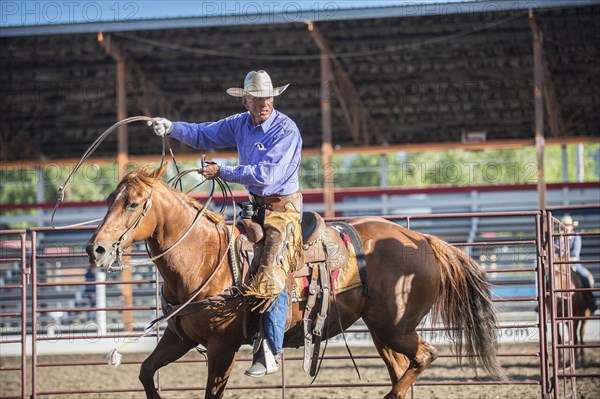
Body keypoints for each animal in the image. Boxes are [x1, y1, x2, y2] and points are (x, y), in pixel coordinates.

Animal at [85, 164, 506, 398]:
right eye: (107, 199)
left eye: (133, 204)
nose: (96, 249)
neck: (205, 258)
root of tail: (422, 238)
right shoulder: (179, 338)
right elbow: (145, 372)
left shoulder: (222, 347)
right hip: (381, 331)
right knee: (404, 367)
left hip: (396, 327)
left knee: (425, 356)